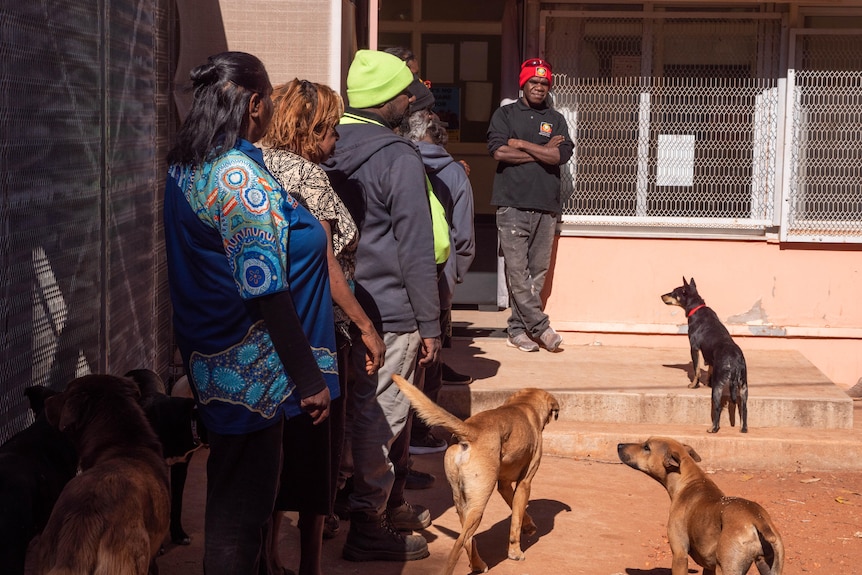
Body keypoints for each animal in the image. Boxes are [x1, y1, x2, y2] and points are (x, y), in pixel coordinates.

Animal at [394, 374, 560, 575]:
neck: (524, 404)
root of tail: (472, 430)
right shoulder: (525, 483)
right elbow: (515, 521)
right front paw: (515, 551)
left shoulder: (504, 485)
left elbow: (516, 510)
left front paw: (528, 526)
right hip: (478, 505)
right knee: (460, 543)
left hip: (462, 502)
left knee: (468, 539)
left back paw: (478, 564)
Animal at [616, 436, 788, 575]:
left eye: (647, 447)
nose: (619, 445)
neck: (688, 480)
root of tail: (756, 519)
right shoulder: (709, 566)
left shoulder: (679, 555)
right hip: (770, 568)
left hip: (726, 569)